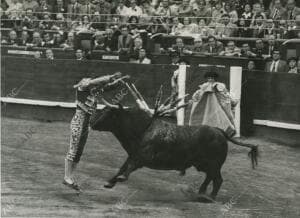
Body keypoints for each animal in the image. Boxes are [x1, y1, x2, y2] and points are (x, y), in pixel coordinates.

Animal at [91, 106, 258, 202]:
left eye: (107, 115)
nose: (92, 124)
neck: (142, 128)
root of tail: (219, 131)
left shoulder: (142, 157)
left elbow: (129, 167)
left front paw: (120, 179)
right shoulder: (133, 154)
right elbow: (122, 167)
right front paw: (110, 182)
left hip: (213, 164)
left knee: (218, 179)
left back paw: (209, 197)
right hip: (203, 164)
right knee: (210, 177)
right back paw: (200, 193)